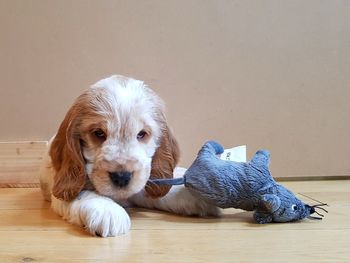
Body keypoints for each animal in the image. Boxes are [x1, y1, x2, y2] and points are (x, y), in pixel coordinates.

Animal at [39, 75, 217, 238]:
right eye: (98, 133)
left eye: (142, 134)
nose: (121, 177)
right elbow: (82, 193)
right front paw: (107, 211)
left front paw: (192, 194)